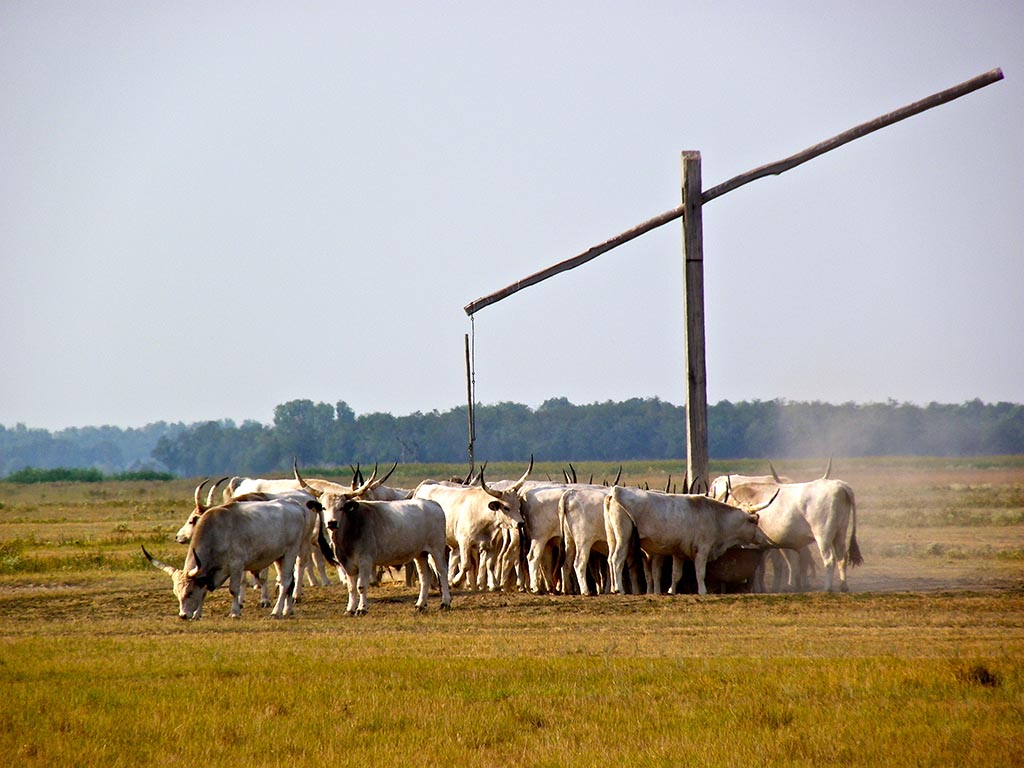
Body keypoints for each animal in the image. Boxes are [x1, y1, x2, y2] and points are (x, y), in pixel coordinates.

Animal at [142, 492, 314, 619]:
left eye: (189, 592)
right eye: (176, 593)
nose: (183, 615)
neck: (216, 533)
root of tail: (294, 504)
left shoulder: (236, 566)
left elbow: (234, 590)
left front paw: (234, 612)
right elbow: (204, 591)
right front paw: (197, 614)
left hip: (291, 553)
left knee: (285, 582)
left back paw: (276, 611)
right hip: (279, 557)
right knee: (289, 582)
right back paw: (287, 610)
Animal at [313, 496, 451, 615]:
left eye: (341, 508)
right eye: (323, 508)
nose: (332, 523)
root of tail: (432, 503)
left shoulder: (365, 560)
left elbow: (361, 586)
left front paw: (361, 609)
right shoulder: (347, 564)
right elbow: (351, 587)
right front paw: (350, 609)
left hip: (436, 548)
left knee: (442, 572)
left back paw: (445, 603)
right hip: (420, 553)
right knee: (424, 576)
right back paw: (420, 605)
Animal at [414, 458, 533, 590]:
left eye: (518, 505)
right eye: (506, 508)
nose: (520, 523)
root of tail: (424, 486)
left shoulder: (491, 545)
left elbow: (490, 564)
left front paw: (493, 584)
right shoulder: (464, 542)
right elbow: (466, 565)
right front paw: (456, 581)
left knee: (453, 556)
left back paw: (448, 580)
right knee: (434, 561)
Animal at [604, 487, 776, 596]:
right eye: (754, 522)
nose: (763, 538)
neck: (715, 517)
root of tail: (617, 491)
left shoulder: (679, 553)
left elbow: (676, 574)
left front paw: (671, 591)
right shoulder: (703, 549)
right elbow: (700, 572)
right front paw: (703, 591)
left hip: (612, 538)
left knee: (610, 559)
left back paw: (613, 588)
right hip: (624, 538)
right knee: (617, 559)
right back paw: (619, 588)